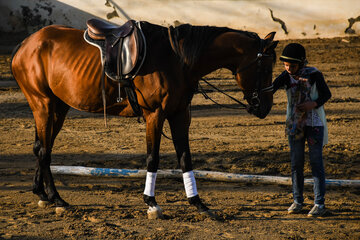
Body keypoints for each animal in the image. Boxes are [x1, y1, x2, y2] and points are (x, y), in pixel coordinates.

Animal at [9, 20, 278, 218]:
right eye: (265, 69)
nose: (265, 107)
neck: (178, 60)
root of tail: (26, 43)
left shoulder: (180, 114)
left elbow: (185, 158)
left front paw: (197, 202)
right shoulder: (155, 115)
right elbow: (153, 158)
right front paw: (151, 203)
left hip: (58, 107)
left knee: (42, 148)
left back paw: (42, 194)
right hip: (43, 104)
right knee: (44, 151)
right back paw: (56, 197)